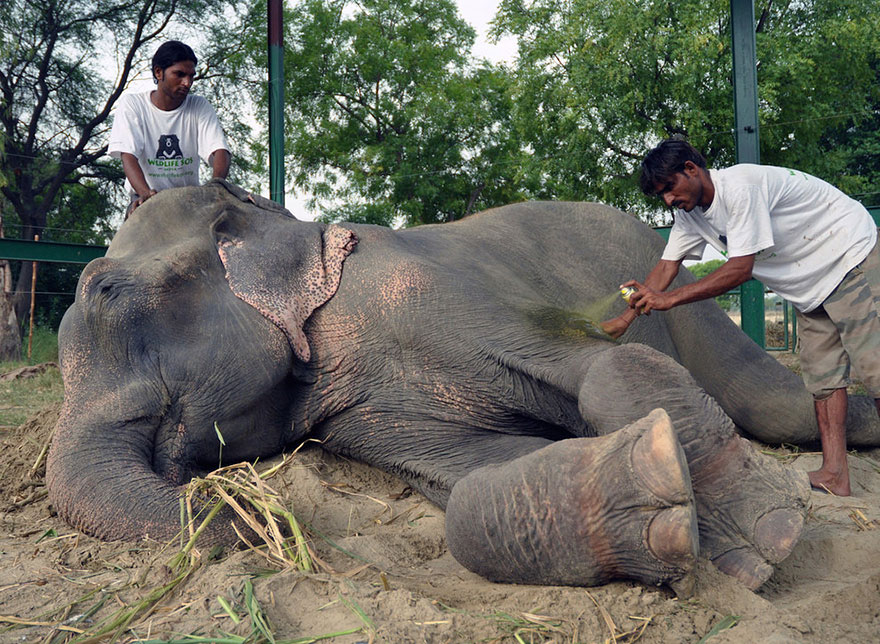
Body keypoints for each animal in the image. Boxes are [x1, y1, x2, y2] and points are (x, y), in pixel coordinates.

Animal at [44, 180, 880, 592]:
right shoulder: (362, 411)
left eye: (106, 292)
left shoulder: (436, 291)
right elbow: (477, 477)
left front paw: (766, 541)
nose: (253, 524)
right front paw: (657, 506)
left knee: (774, 402)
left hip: (690, 304)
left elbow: (594, 364)